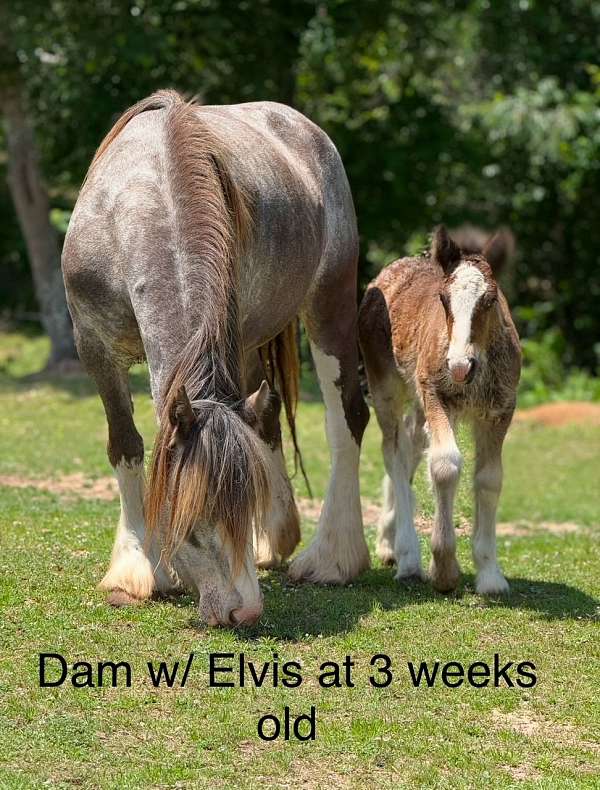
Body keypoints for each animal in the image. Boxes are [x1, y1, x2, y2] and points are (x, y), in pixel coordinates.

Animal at [62, 90, 370, 627]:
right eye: (193, 520)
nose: (243, 611)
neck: (144, 199)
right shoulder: (94, 347)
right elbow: (126, 445)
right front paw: (137, 569)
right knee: (266, 419)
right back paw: (277, 541)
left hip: (329, 303)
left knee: (345, 418)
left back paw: (331, 558)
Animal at [358, 226, 520, 594]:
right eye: (443, 300)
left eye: (490, 300)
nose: (459, 367)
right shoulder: (435, 396)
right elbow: (445, 464)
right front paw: (443, 567)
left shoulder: (501, 410)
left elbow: (489, 479)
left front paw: (490, 574)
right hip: (387, 388)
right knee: (393, 453)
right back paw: (407, 557)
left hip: (418, 405)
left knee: (411, 448)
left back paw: (389, 542)